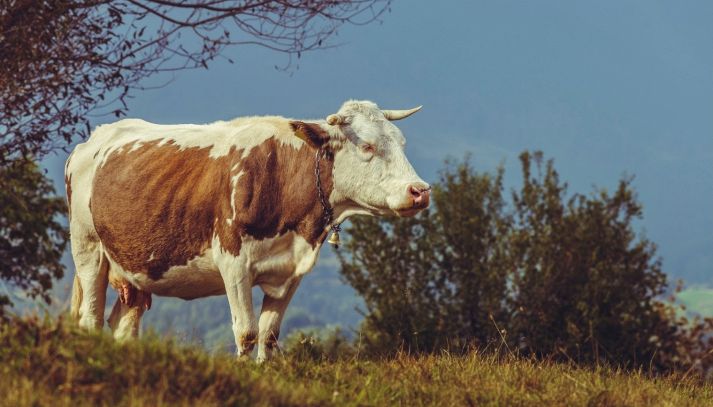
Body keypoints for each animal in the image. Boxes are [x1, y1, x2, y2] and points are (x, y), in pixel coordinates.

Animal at [65, 100, 430, 361]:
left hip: (136, 267)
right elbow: (247, 332)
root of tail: (95, 139)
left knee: (124, 324)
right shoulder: (234, 264)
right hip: (88, 249)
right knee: (90, 317)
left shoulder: (291, 272)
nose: (420, 190)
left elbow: (269, 334)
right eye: (367, 147)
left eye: (401, 143)